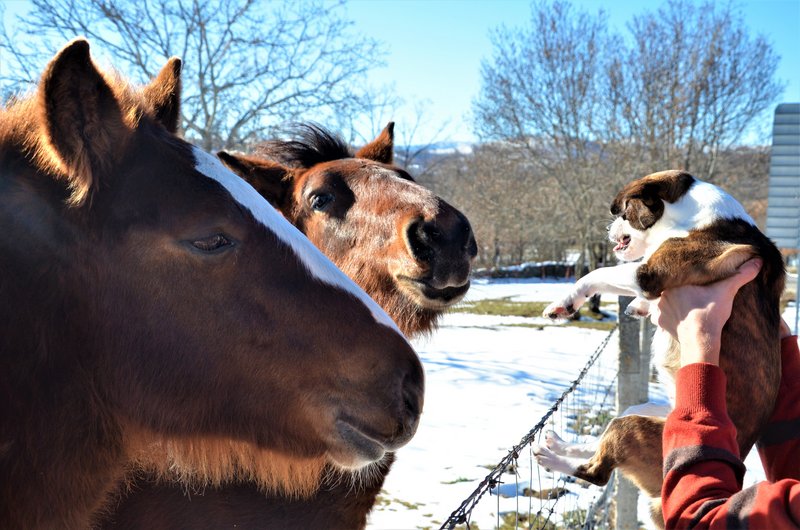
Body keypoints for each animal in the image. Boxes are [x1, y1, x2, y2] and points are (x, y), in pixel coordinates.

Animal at [536, 169, 784, 524]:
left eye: (623, 212)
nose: (609, 230)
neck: (689, 213)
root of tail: (658, 499)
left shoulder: (648, 273)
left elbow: (596, 273)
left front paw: (566, 302)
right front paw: (637, 307)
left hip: (632, 427)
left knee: (599, 473)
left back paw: (555, 459)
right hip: (638, 411)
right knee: (602, 444)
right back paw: (563, 446)